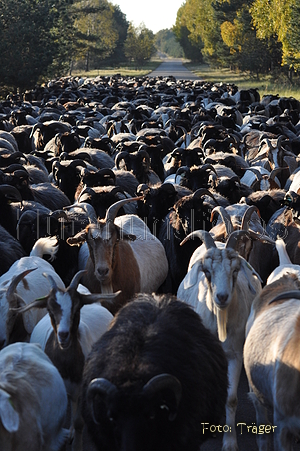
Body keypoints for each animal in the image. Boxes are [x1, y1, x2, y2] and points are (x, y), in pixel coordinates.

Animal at [177, 231, 262, 451]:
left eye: (235, 271)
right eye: (207, 271)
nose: (221, 297)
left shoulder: (235, 354)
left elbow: (231, 399)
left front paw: (230, 442)